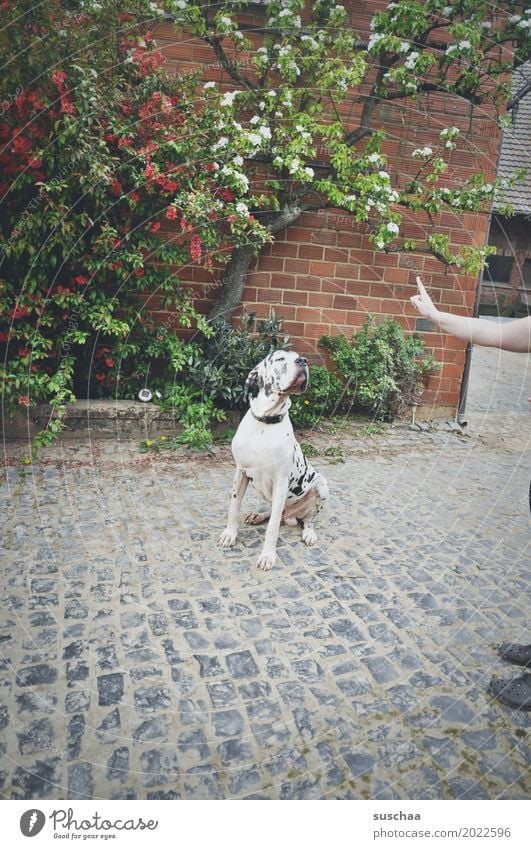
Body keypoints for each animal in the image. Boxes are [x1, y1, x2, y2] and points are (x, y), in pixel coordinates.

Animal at [219, 348, 328, 572]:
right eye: (279, 358)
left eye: (299, 357)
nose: (303, 361)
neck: (264, 424)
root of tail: (292, 516)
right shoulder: (240, 473)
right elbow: (233, 507)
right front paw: (230, 534)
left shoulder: (280, 482)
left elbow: (273, 528)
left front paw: (268, 555)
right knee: (272, 511)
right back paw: (258, 516)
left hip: (322, 486)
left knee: (309, 519)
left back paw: (309, 532)